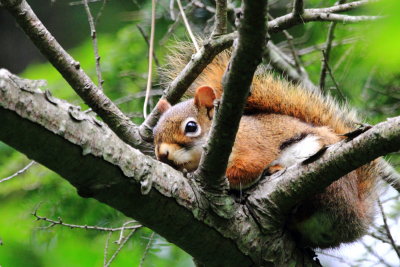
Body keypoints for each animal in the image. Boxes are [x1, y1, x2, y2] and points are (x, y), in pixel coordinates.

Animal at [152, 49, 380, 249]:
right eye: (154, 133)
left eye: (191, 127)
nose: (162, 154)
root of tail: (354, 217)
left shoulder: (252, 146)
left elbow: (246, 170)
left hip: (323, 175)